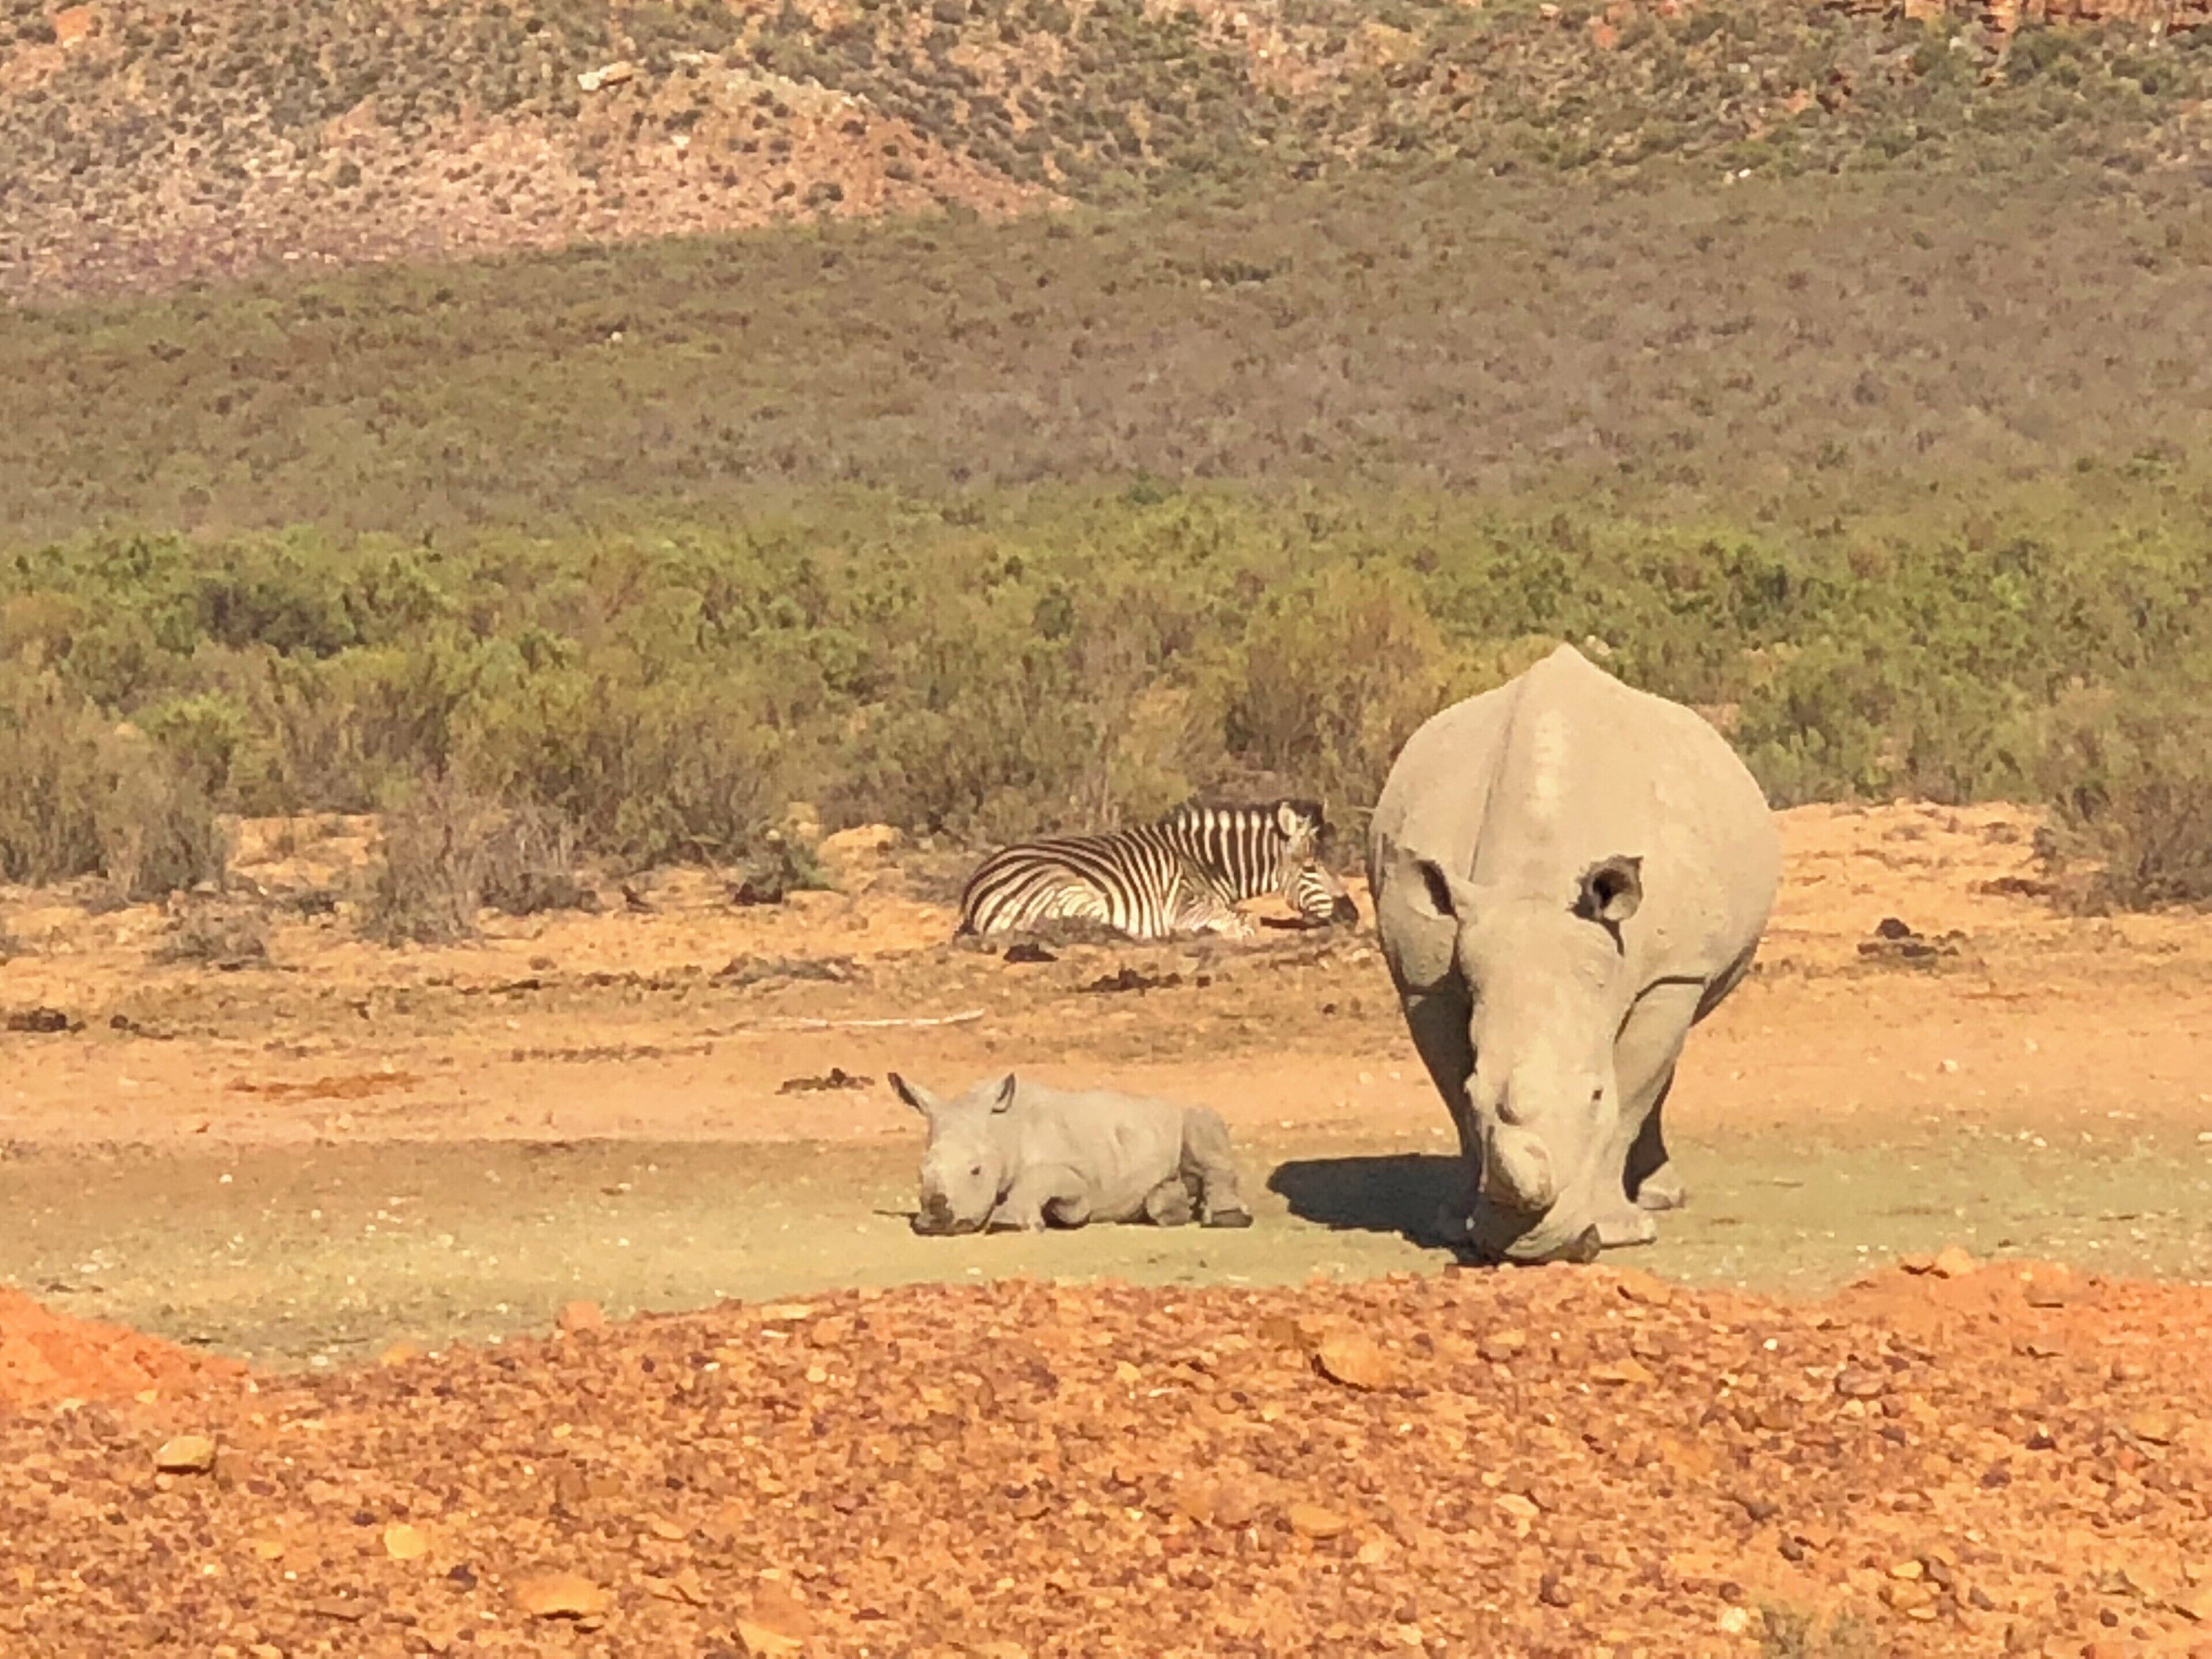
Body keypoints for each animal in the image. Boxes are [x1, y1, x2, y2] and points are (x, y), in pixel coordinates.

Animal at [890, 1071, 1255, 1235]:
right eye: (920, 1174)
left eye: (976, 1171)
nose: (937, 1222)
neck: (1002, 1129)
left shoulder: (1081, 1177)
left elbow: (1048, 1182)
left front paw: (1013, 1223)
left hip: (1183, 1113)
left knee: (1202, 1123)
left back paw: (1226, 1219)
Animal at [1366, 643, 1780, 1265]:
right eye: (1475, 1093)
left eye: (1594, 1094)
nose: (1533, 1246)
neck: (1536, 885)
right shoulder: (1423, 977)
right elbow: (1450, 1087)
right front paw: (1455, 1224)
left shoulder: (1670, 975)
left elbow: (1632, 1093)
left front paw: (1617, 1231)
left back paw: (1658, 1199)